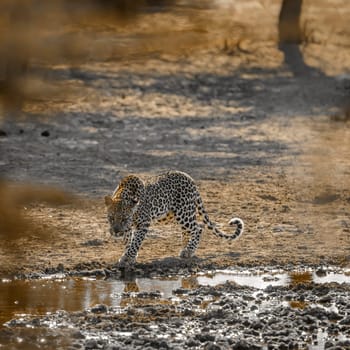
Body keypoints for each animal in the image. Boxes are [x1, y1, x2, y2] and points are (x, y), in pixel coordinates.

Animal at [104, 171, 243, 266]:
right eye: (111, 218)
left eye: (124, 219)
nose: (116, 232)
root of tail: (189, 178)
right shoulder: (129, 228)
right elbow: (128, 241)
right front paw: (129, 256)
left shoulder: (143, 223)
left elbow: (135, 242)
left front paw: (129, 257)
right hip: (172, 215)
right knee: (187, 231)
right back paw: (184, 248)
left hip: (184, 213)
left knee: (198, 228)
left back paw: (189, 251)